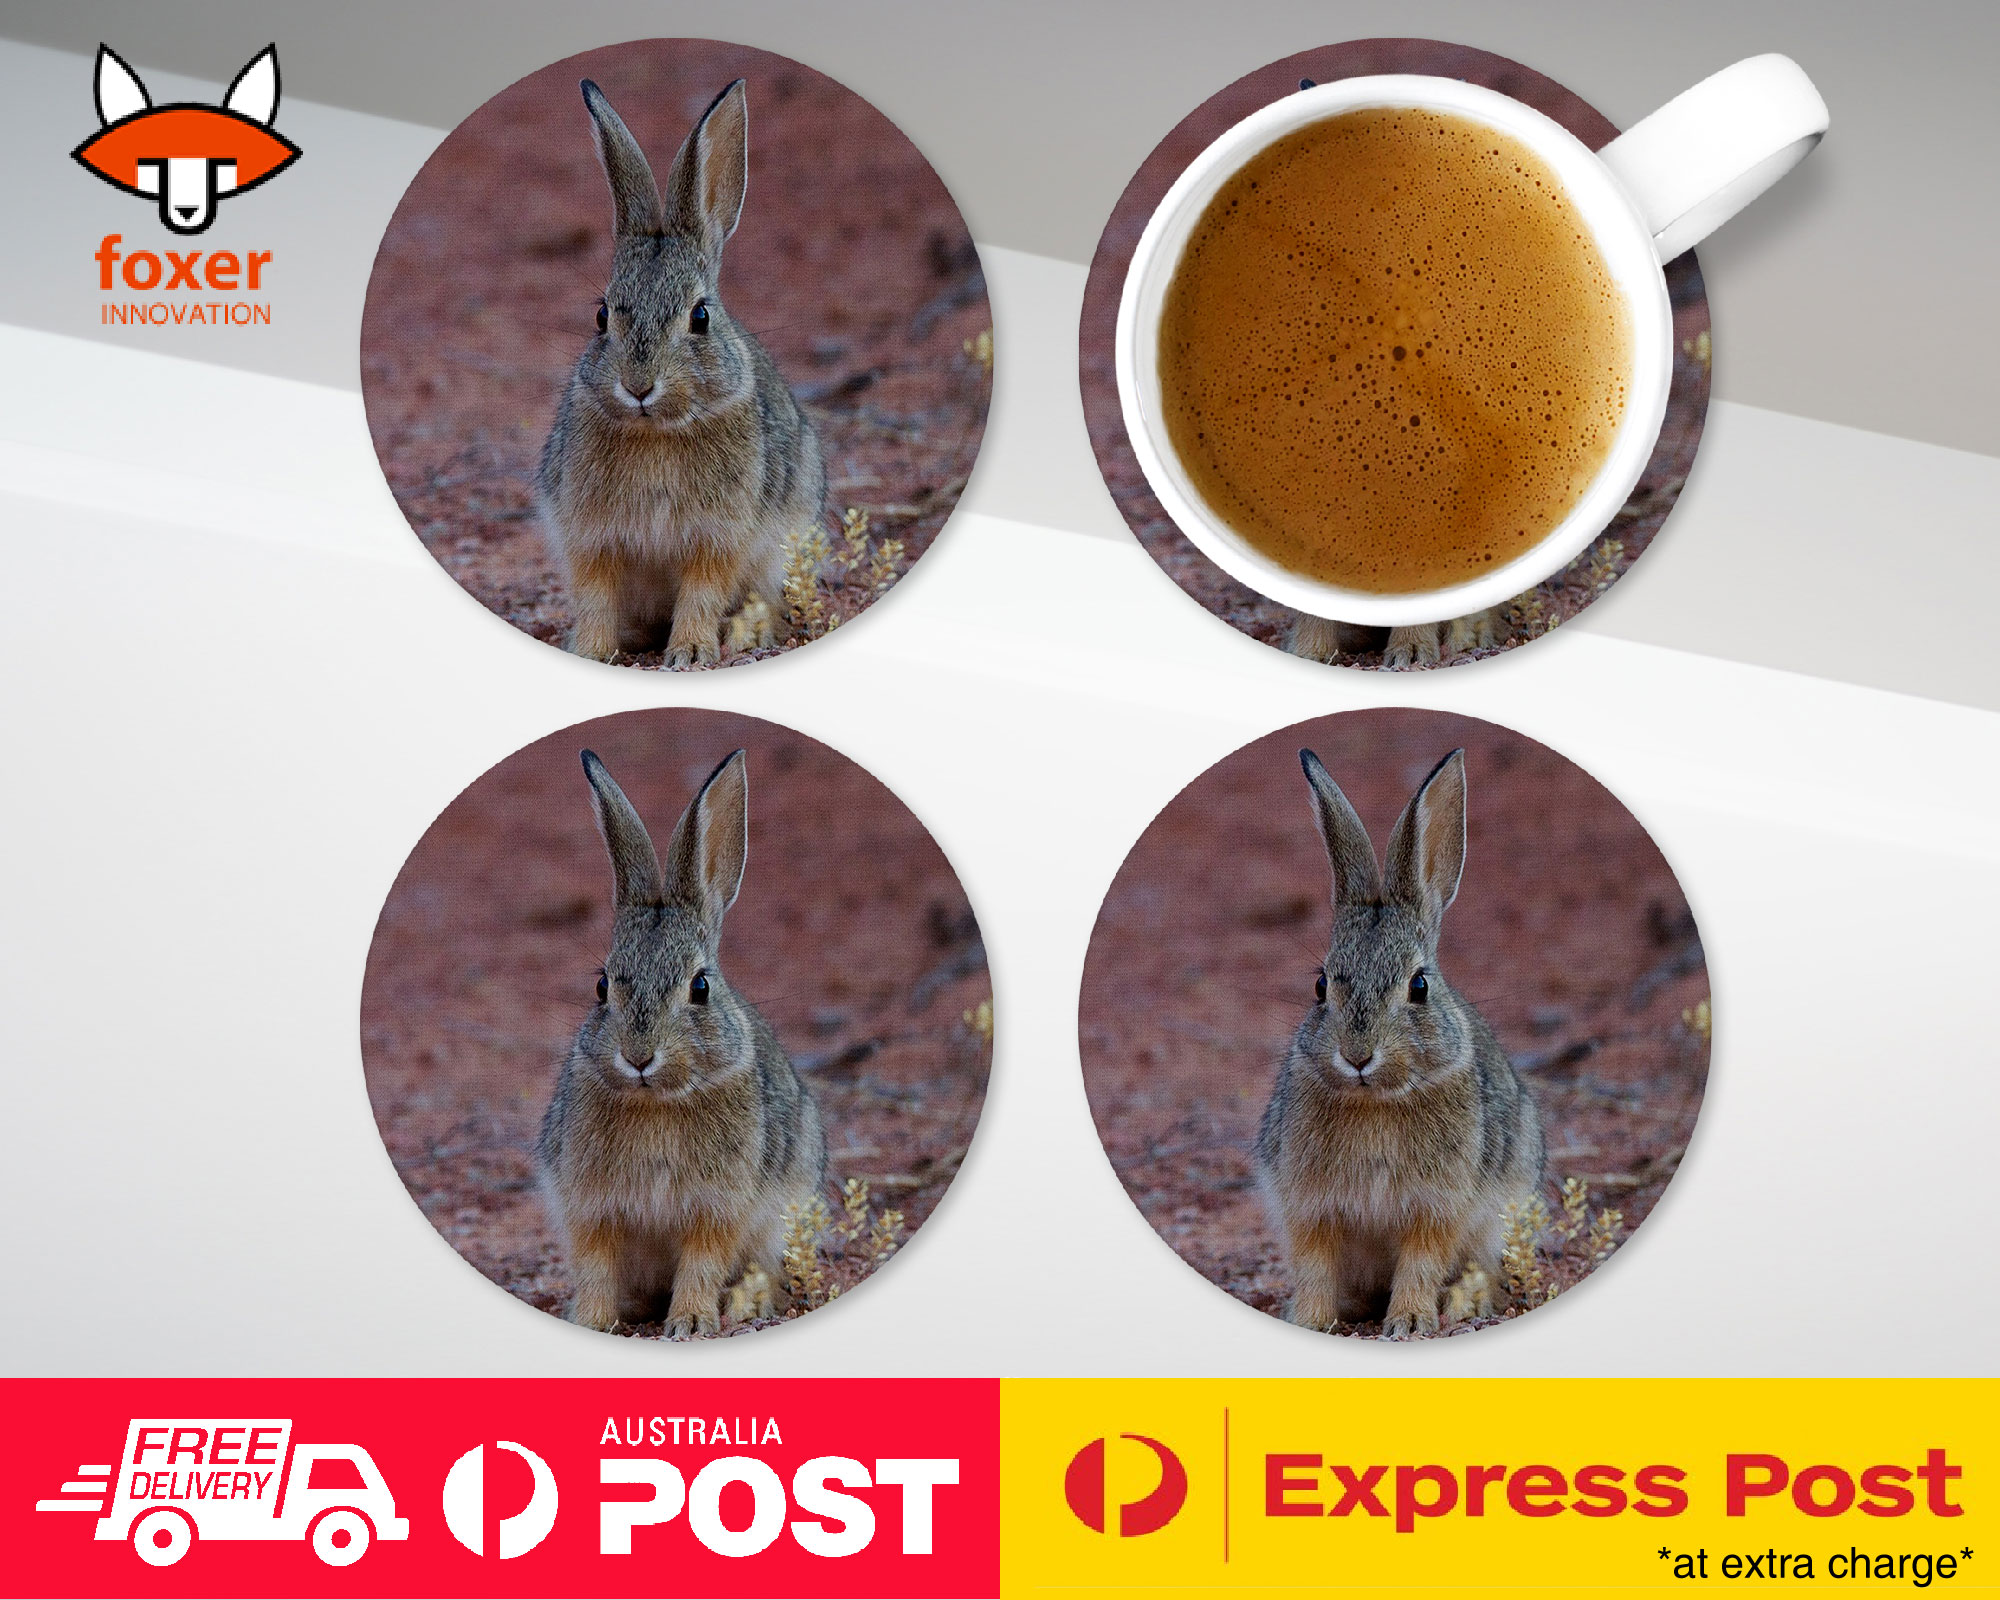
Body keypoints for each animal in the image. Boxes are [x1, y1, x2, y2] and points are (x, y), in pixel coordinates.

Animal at [537, 78, 827, 668]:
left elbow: (702, 591)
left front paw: (690, 653)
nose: (638, 387)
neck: (658, 431)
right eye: (602, 316)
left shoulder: (718, 538)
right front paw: (592, 651)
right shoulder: (590, 536)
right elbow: (596, 594)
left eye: (700, 317)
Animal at [537, 747, 828, 1336]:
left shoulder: (718, 1208)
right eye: (602, 986)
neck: (658, 1102)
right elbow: (596, 1264)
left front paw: (690, 1323)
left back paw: (749, 1306)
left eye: (700, 987)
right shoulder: (590, 1206)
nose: (638, 1057)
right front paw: (592, 1322)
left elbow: (702, 1262)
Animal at [1255, 747, 1544, 1338]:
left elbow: (1421, 1261)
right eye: (1321, 986)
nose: (1357, 1056)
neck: (1376, 1101)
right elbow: (1315, 1265)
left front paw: (1409, 1321)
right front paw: (1310, 1321)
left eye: (1419, 986)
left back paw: (1466, 1305)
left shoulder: (1437, 1207)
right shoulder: (1309, 1206)